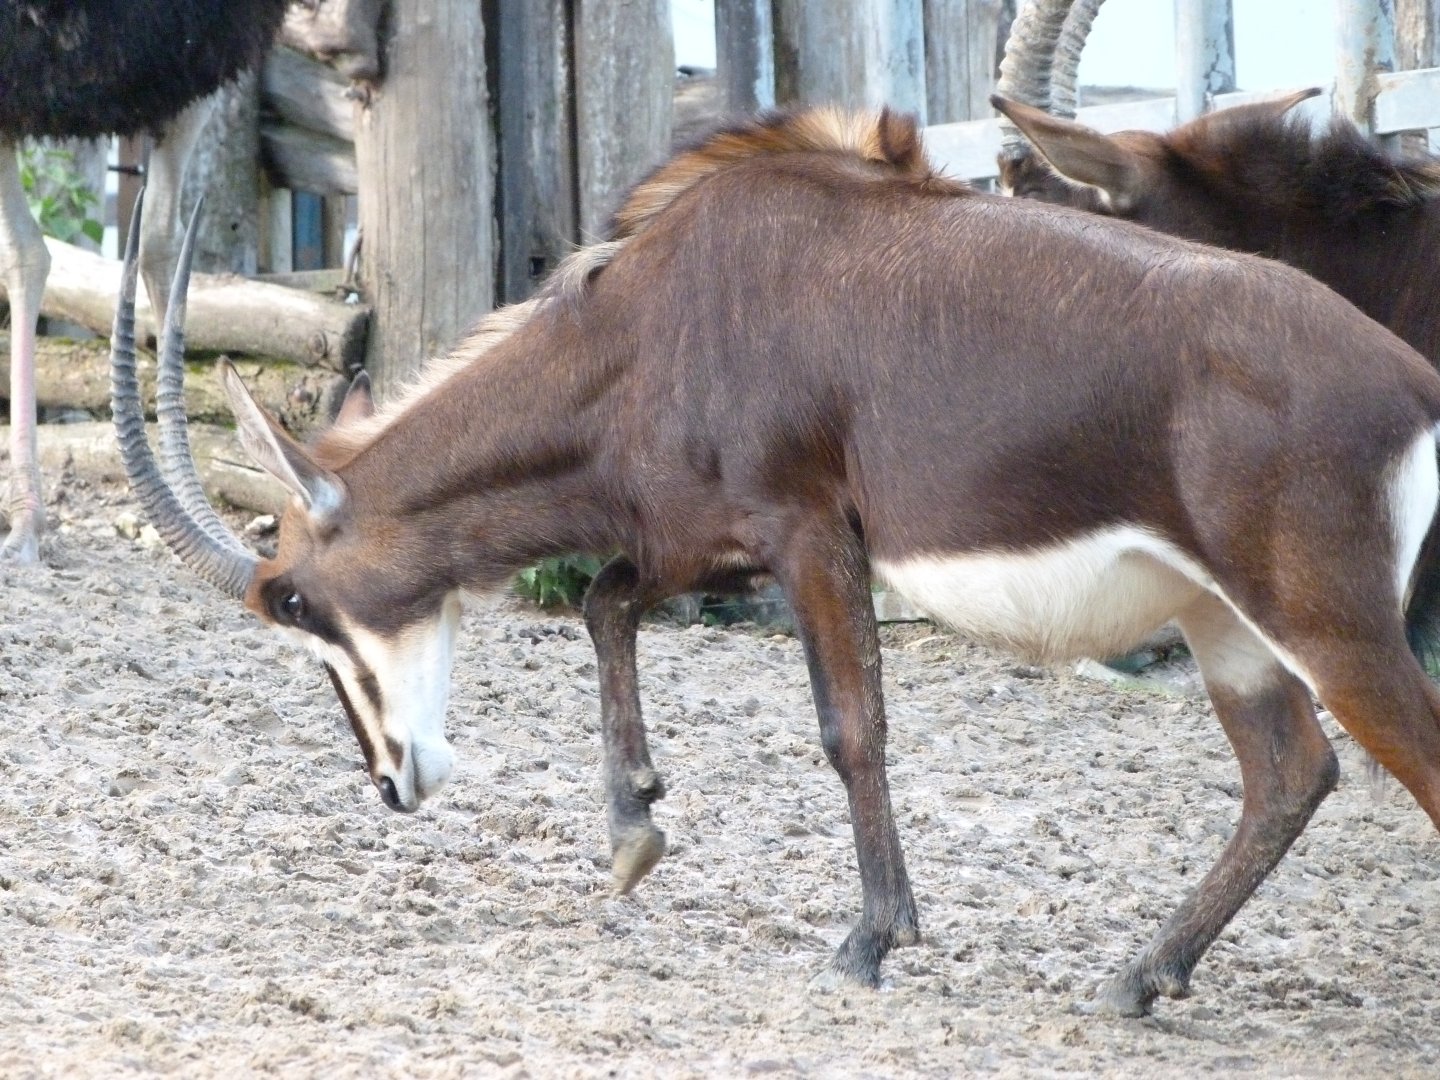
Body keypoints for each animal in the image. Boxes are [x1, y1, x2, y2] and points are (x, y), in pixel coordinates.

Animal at [115, 105, 1440, 1016]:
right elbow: (607, 602)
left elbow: (850, 727)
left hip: (1330, 623)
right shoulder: (706, 534)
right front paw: (634, 833)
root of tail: (1408, 378)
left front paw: (870, 938)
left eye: (295, 601)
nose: (394, 783)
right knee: (1290, 775)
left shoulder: (807, 532)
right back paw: (1140, 974)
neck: (648, 316)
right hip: (1227, 625)